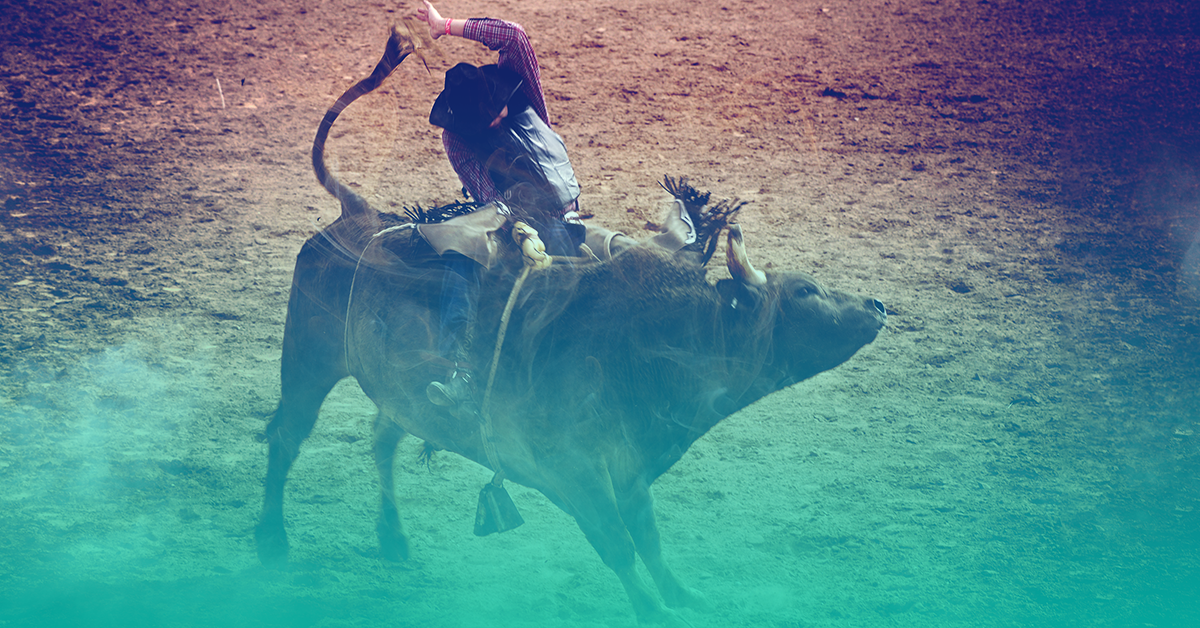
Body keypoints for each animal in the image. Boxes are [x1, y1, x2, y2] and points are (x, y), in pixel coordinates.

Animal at [255, 27, 887, 626]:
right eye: (803, 290)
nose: (878, 306)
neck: (646, 349)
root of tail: (358, 213)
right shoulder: (569, 473)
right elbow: (618, 545)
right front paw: (654, 609)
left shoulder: (631, 468)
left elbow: (649, 540)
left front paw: (684, 596)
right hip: (309, 356)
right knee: (287, 435)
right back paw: (271, 542)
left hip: (390, 384)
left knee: (384, 435)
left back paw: (392, 539)